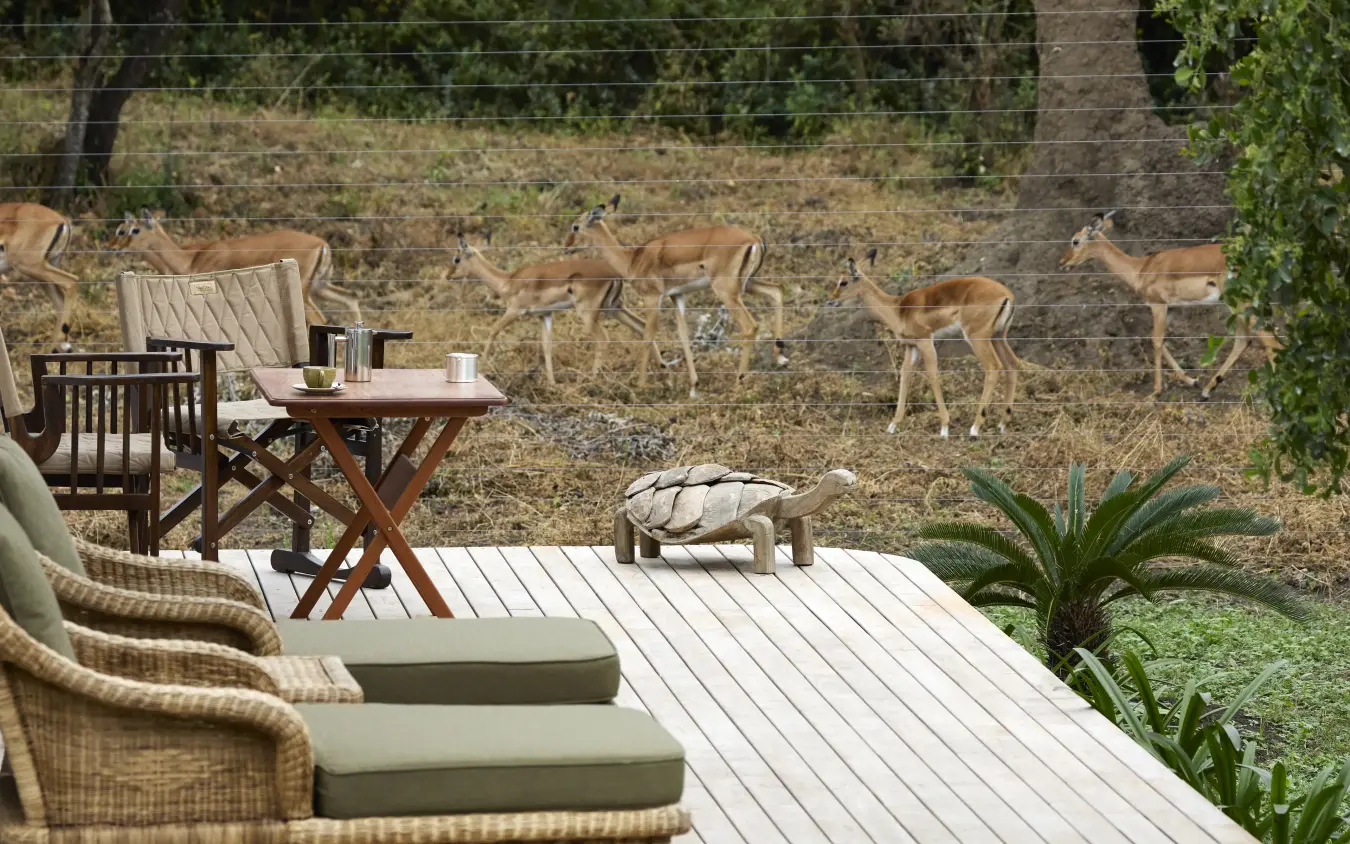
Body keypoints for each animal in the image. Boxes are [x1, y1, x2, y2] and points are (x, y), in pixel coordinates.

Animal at [110, 209, 361, 324]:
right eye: (119, 229)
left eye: (133, 229)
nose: (112, 247)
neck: (190, 259)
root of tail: (323, 244)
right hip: (320, 287)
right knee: (351, 298)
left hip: (303, 292)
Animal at [450, 233, 669, 384]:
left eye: (456, 259)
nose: (448, 275)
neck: (508, 281)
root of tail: (614, 274)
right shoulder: (545, 315)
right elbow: (547, 346)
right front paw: (551, 382)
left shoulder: (514, 310)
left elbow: (493, 330)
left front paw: (484, 365)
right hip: (614, 308)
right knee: (642, 325)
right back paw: (661, 369)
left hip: (588, 313)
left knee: (604, 339)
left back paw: (592, 379)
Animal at [564, 194, 785, 397]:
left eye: (575, 227)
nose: (566, 248)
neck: (632, 260)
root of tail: (754, 239)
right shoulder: (677, 296)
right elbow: (683, 334)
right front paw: (694, 386)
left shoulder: (653, 298)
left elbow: (648, 334)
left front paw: (641, 384)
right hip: (747, 284)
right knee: (776, 291)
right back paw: (779, 354)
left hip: (726, 290)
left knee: (750, 326)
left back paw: (739, 381)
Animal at [827, 248, 1020, 438]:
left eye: (843, 282)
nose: (830, 301)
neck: (898, 309)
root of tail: (1007, 295)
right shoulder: (911, 346)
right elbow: (905, 374)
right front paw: (893, 425)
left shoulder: (925, 341)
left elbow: (932, 375)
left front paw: (944, 428)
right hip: (998, 337)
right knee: (1011, 364)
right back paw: (1002, 423)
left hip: (977, 338)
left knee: (993, 367)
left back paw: (975, 428)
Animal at [1060, 211, 1280, 399]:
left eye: (1075, 240)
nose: (1063, 262)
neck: (1141, 269)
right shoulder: (1169, 308)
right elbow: (1163, 341)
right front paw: (1191, 381)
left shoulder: (1158, 305)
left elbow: (1155, 341)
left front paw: (1155, 392)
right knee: (1245, 340)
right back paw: (1207, 390)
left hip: (1241, 305)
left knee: (1268, 341)